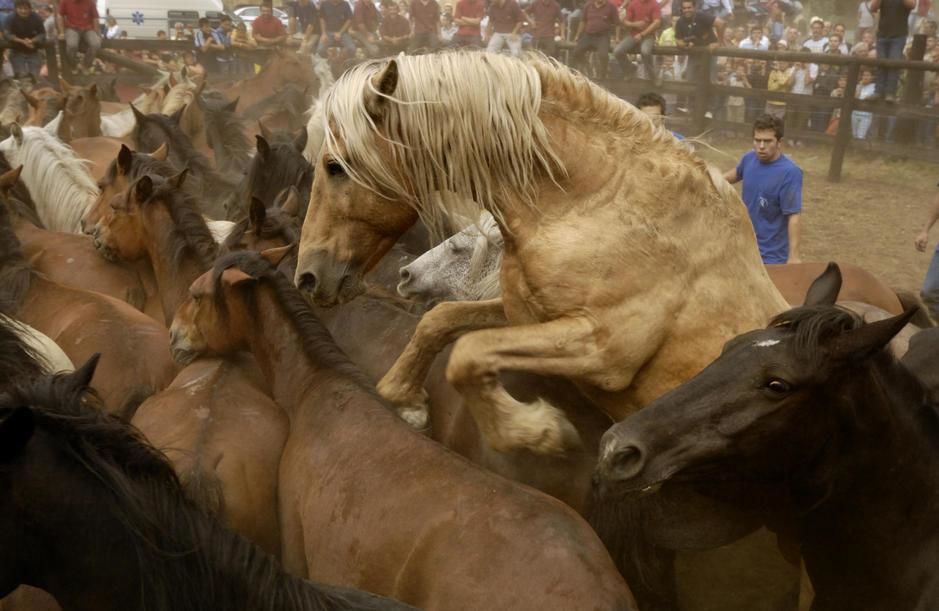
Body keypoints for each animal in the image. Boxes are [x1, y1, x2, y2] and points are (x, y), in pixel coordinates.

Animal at [296, 52, 792, 454]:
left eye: (335, 166)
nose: (307, 276)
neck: (596, 205)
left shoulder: (602, 350)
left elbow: (469, 353)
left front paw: (538, 430)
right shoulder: (525, 315)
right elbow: (441, 320)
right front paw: (404, 399)